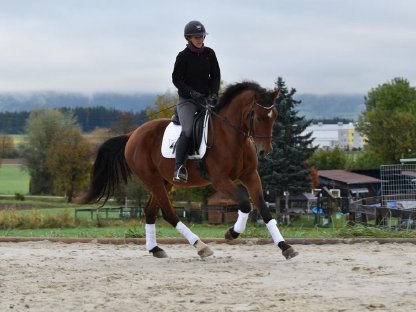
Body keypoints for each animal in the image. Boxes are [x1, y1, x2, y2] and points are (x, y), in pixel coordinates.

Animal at [75, 81, 300, 260]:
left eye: (274, 116)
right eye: (259, 117)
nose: (265, 151)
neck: (233, 135)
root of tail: (133, 134)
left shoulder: (251, 176)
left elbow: (264, 208)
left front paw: (285, 247)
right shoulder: (220, 180)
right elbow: (245, 203)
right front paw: (231, 233)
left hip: (164, 181)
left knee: (150, 211)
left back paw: (155, 249)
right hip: (152, 179)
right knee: (168, 213)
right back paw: (201, 246)